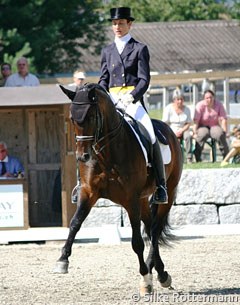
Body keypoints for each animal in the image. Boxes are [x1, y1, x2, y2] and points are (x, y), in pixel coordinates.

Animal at [54, 82, 182, 294]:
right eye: (72, 118)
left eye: (90, 117)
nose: (82, 157)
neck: (107, 153)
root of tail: (168, 129)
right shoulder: (88, 192)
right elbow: (75, 223)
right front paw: (62, 260)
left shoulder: (130, 199)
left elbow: (137, 242)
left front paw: (145, 278)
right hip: (142, 199)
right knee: (150, 228)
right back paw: (159, 271)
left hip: (168, 194)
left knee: (155, 230)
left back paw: (156, 274)